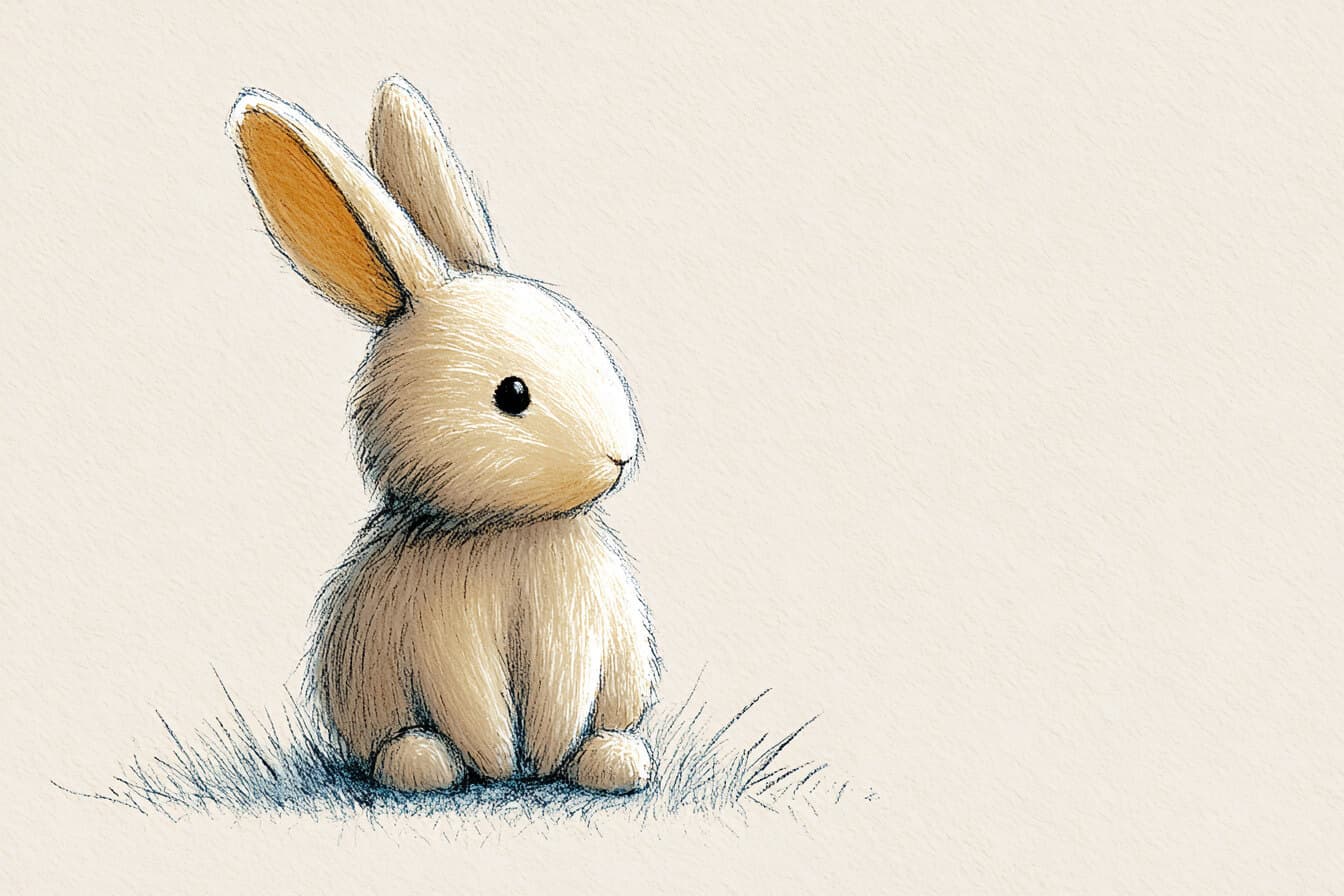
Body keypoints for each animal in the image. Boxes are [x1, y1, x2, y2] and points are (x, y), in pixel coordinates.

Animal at [227, 76, 660, 793]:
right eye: (512, 394)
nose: (619, 456)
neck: (505, 535)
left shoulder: (578, 627)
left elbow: (564, 693)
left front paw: (539, 760)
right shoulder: (446, 640)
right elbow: (473, 700)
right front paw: (501, 763)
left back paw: (614, 763)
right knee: (408, 744)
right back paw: (425, 765)